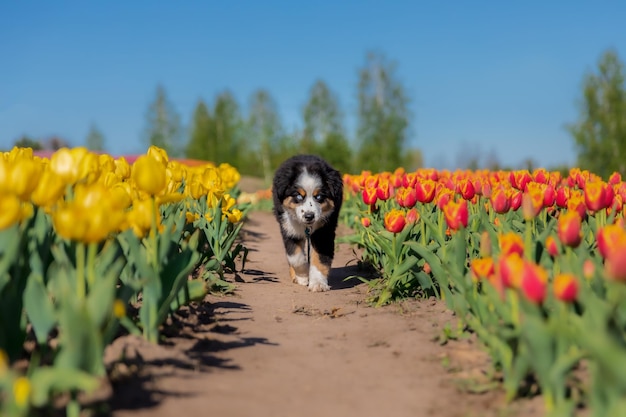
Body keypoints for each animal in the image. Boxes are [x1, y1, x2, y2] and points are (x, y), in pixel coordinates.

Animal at [272, 154, 344, 290]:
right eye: (299, 196)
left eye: (319, 196)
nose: (309, 216)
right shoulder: (289, 228)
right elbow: (295, 256)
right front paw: (303, 276)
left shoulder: (324, 231)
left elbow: (320, 258)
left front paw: (318, 284)